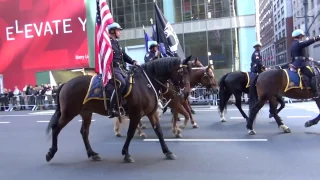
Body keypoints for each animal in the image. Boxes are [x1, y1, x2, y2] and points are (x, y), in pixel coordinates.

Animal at [45, 56, 192, 163]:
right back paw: (51, 153)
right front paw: (126, 154)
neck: (146, 83)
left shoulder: (151, 113)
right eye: (182, 72)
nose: (185, 93)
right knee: (56, 128)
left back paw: (92, 154)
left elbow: (159, 132)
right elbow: (130, 133)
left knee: (84, 132)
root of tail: (65, 84)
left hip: (86, 113)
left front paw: (168, 152)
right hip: (69, 113)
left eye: (189, 72)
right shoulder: (136, 114)